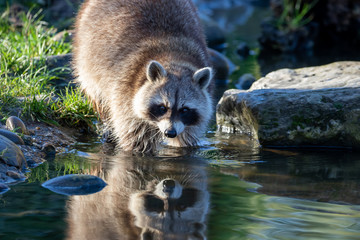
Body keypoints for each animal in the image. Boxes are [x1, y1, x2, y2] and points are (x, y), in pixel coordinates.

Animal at [73, 0, 214, 153]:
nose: (170, 133)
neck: (174, 60)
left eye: (185, 110)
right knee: (97, 93)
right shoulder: (125, 94)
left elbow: (186, 139)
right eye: (162, 107)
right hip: (86, 57)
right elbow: (136, 142)